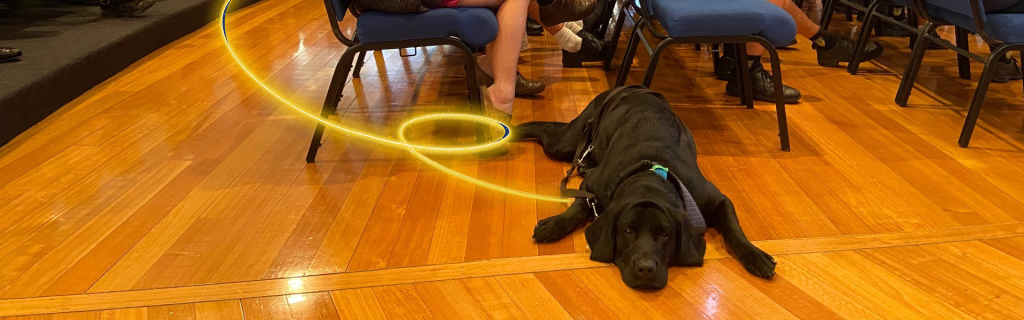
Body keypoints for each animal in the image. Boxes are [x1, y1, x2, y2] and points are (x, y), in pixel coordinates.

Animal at [516, 86, 770, 289]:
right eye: (627, 231)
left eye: (665, 234)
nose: (646, 269)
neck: (649, 174)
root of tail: (633, 86)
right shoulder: (593, 183)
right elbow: (578, 208)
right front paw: (556, 224)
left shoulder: (714, 199)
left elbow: (734, 229)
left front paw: (754, 255)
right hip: (567, 142)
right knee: (545, 128)